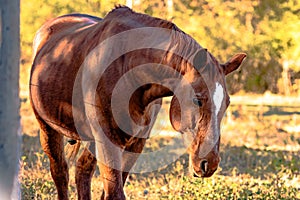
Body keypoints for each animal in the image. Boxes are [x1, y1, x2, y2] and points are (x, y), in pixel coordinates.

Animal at [29, 6, 246, 200]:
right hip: (47, 128)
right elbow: (114, 193)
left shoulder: (136, 144)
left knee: (82, 170)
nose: (209, 163)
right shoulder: (108, 141)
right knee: (60, 173)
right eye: (197, 100)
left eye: (226, 103)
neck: (128, 68)